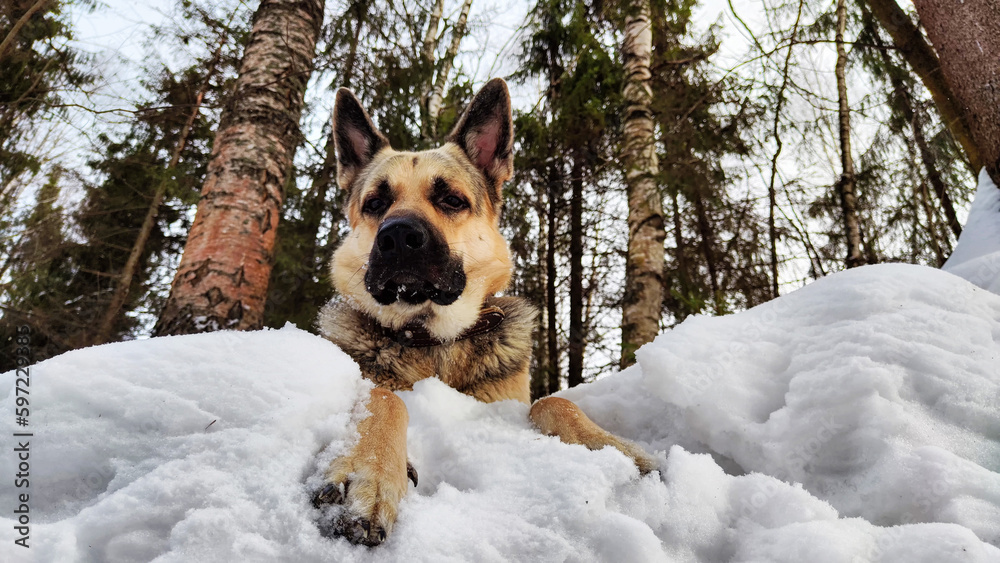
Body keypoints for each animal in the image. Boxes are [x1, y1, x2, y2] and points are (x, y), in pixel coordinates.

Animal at [312, 78, 656, 548]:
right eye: (376, 203)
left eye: (451, 200)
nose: (397, 237)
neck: (432, 340)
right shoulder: (376, 386)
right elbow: (385, 398)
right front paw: (367, 470)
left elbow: (553, 400)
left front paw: (605, 445)